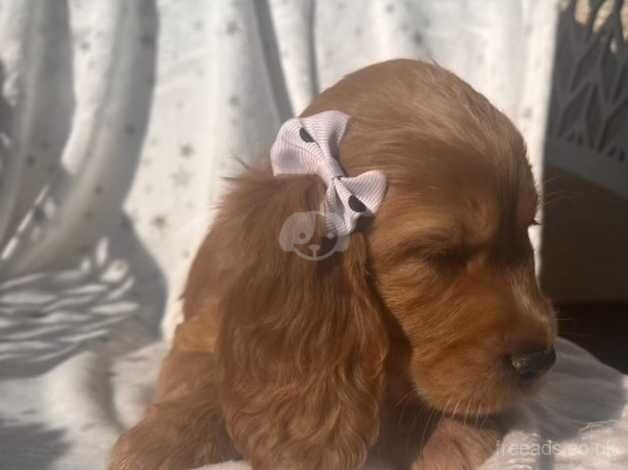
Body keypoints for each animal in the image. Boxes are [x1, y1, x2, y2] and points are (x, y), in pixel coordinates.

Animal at [109, 60, 560, 470]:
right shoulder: (201, 331)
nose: (539, 362)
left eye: (527, 232)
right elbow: (199, 381)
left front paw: (450, 436)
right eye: (438, 255)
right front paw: (156, 443)